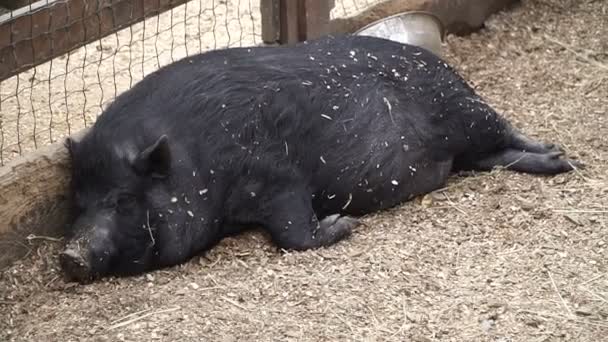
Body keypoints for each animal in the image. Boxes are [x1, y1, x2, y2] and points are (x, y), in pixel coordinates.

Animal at [60, 34, 580, 282]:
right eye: (79, 201)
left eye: (124, 200)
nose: (70, 255)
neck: (196, 158)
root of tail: (444, 63)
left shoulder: (278, 178)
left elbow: (294, 233)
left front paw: (344, 223)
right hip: (468, 142)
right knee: (491, 158)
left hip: (466, 109)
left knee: (509, 131)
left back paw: (563, 158)